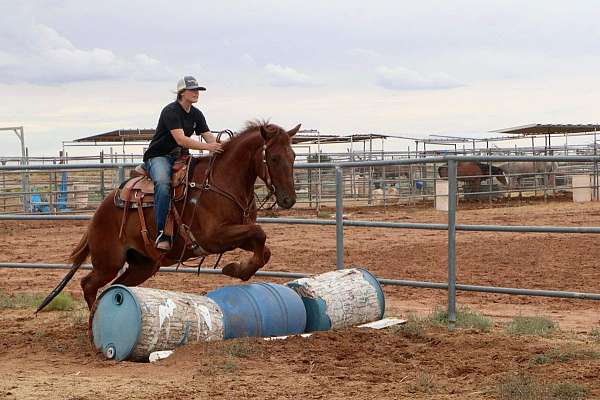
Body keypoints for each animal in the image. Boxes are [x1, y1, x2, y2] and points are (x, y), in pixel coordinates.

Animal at [37, 122, 300, 312]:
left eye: (294, 156)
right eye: (273, 158)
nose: (289, 199)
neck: (221, 181)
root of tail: (98, 214)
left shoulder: (237, 234)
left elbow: (263, 248)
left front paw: (239, 269)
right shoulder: (213, 237)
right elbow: (260, 233)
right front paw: (237, 269)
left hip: (143, 265)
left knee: (114, 287)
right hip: (108, 262)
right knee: (88, 284)